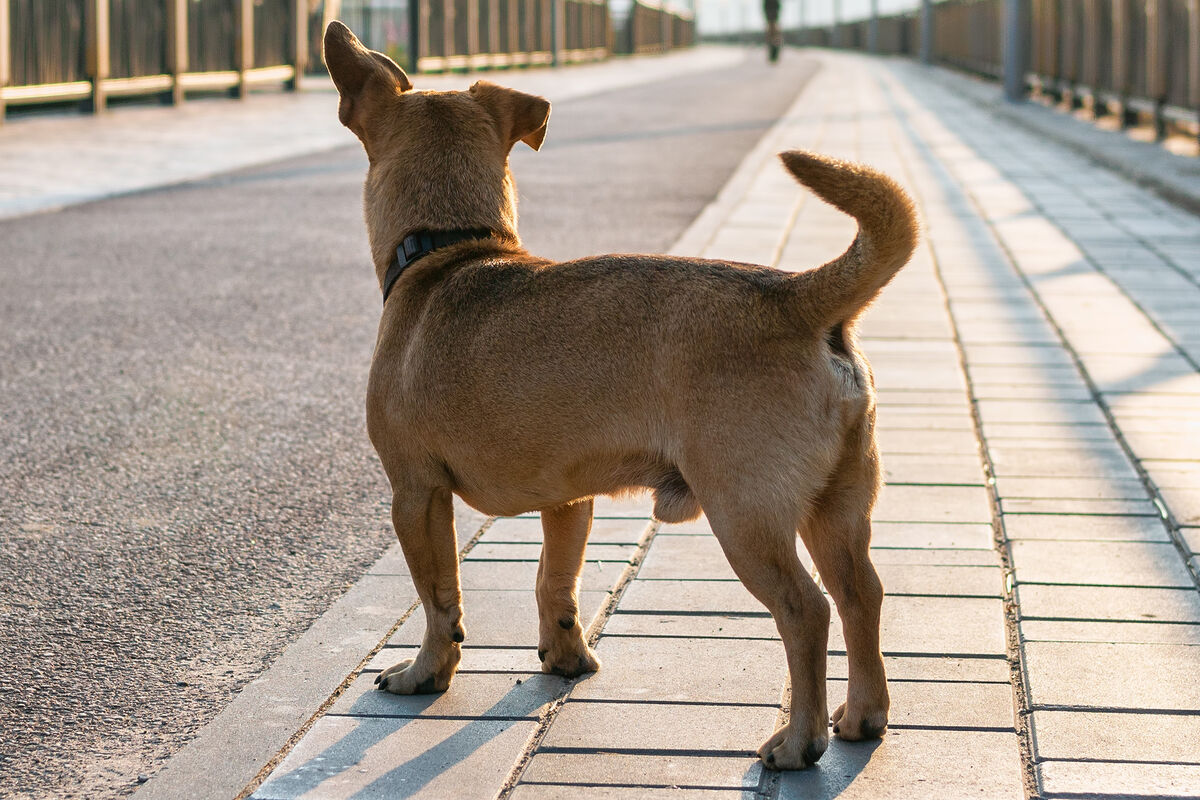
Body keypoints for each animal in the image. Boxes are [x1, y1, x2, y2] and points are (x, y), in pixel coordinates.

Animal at [324, 18, 912, 767]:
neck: (453, 245)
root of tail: (795, 297)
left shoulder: (415, 494)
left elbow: (439, 598)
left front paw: (428, 671)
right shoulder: (568, 500)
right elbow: (556, 582)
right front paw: (565, 657)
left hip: (746, 515)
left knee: (806, 611)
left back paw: (798, 738)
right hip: (836, 507)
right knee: (862, 595)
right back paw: (863, 715)